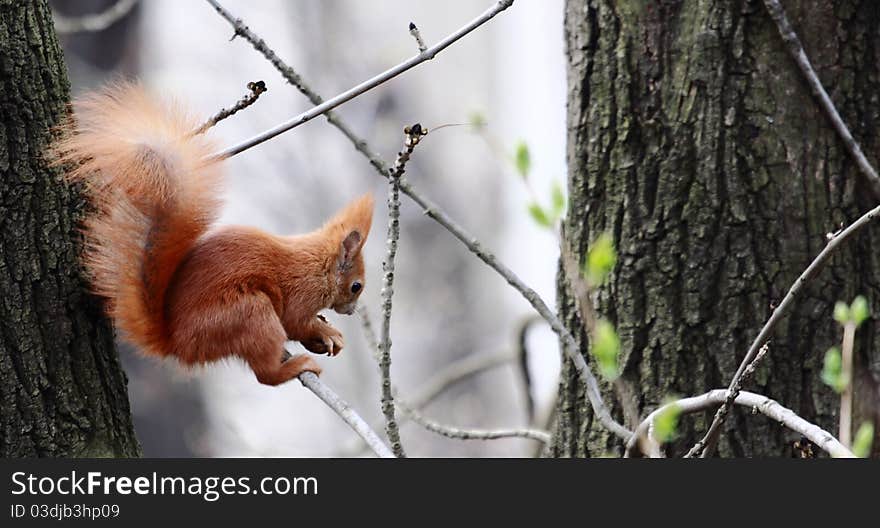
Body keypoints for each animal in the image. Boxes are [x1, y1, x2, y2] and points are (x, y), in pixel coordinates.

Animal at [55, 84, 372, 386]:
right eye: (356, 286)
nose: (351, 311)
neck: (318, 264)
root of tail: (178, 343)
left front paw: (322, 335)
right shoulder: (302, 292)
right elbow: (294, 323)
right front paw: (324, 329)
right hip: (248, 314)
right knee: (265, 375)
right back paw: (294, 367)